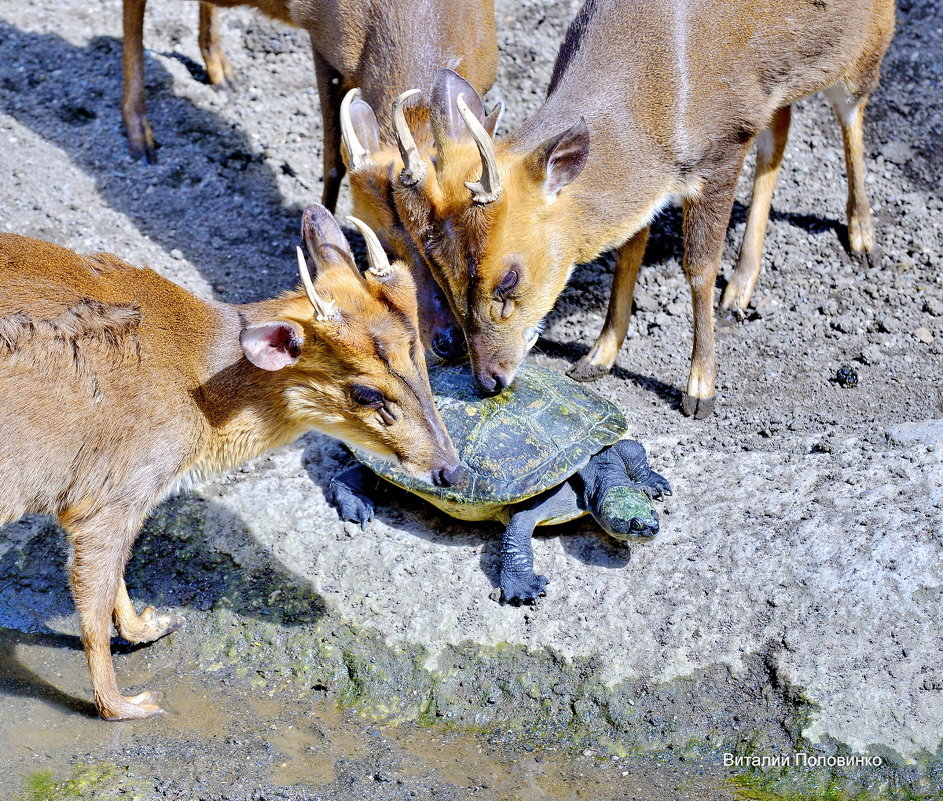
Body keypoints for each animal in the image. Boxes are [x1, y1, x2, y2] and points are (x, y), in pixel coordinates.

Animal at [0, 205, 464, 720]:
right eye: (366, 392)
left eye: (423, 360)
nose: (452, 469)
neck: (200, 389)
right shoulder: (115, 489)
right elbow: (93, 599)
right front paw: (125, 705)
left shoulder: (97, 498)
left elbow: (113, 577)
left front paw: (148, 627)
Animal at [121, 0, 498, 360]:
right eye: (384, 247)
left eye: (466, 246)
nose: (450, 342)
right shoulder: (324, 42)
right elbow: (332, 160)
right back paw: (141, 134)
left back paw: (222, 75)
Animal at [390, 1, 892, 418]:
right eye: (439, 273)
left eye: (509, 279)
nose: (488, 380)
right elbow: (628, 255)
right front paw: (596, 358)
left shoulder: (723, 147)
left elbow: (698, 268)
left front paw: (700, 391)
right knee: (781, 129)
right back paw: (740, 291)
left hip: (866, 41)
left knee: (852, 112)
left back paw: (863, 238)